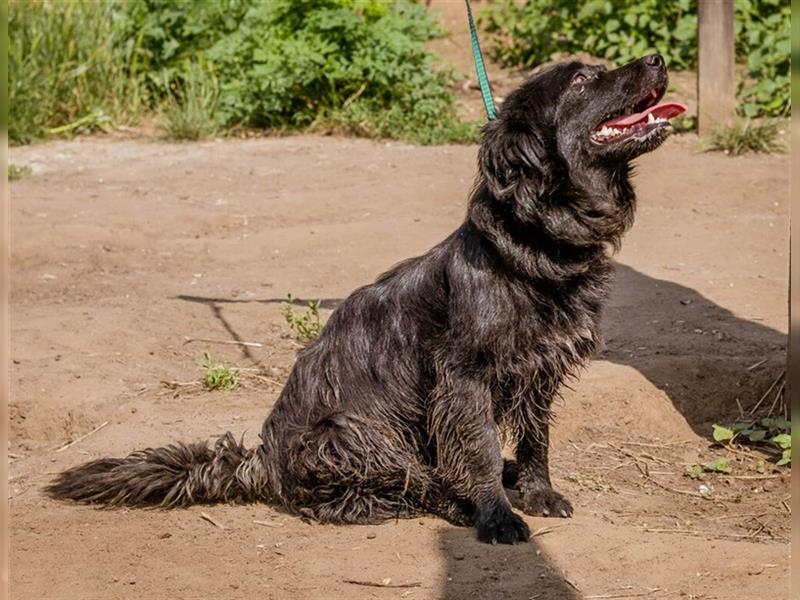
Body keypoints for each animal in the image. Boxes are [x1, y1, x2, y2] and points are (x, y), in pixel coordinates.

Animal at [45, 55, 680, 544]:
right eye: (583, 80)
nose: (657, 60)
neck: (534, 246)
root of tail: (262, 461)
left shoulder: (541, 368)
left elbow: (535, 437)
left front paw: (537, 491)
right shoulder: (464, 378)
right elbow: (475, 449)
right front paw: (497, 515)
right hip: (352, 433)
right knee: (396, 486)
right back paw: (452, 501)